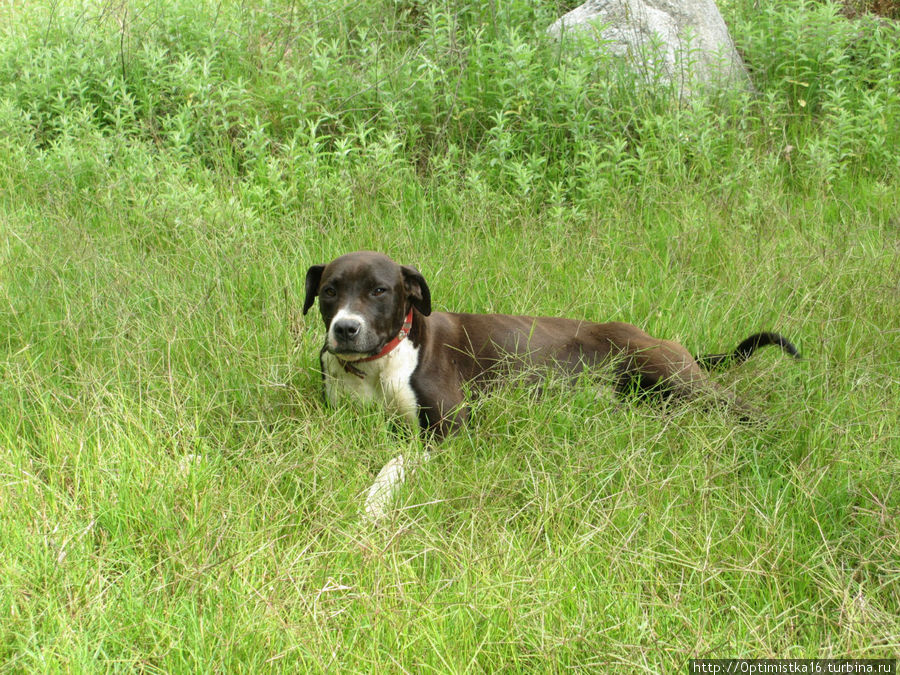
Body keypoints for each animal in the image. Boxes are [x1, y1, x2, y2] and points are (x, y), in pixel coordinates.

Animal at [304, 251, 800, 520]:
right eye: (330, 290)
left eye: (379, 290)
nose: (345, 329)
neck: (377, 365)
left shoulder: (447, 431)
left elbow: (395, 462)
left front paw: (374, 504)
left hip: (673, 376)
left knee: (743, 409)